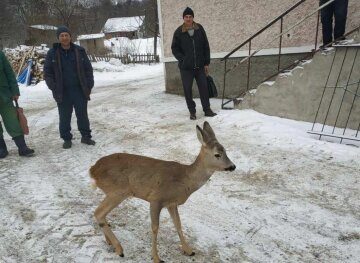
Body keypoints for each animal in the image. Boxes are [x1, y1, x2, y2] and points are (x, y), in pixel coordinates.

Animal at [89, 122, 236, 263]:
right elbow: (155, 228)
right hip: (118, 190)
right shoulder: (156, 199)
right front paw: (156, 258)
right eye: (217, 154)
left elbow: (178, 224)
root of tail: (92, 170)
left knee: (101, 214)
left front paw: (189, 250)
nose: (233, 166)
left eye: (225, 150)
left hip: (112, 192)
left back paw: (110, 243)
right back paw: (119, 249)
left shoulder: (172, 204)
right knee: (98, 213)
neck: (185, 180)